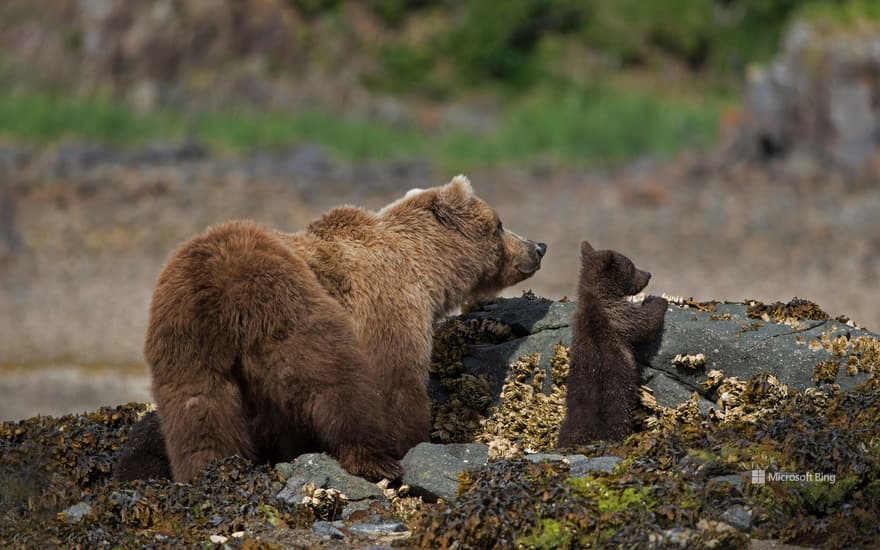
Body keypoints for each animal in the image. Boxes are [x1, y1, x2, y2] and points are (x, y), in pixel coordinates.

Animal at [131, 177, 544, 484]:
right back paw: (373, 458)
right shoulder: (387, 304)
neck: (426, 271)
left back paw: (208, 470)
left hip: (184, 341)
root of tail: (217, 290)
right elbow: (395, 381)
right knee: (334, 384)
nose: (538, 246)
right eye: (500, 224)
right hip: (290, 308)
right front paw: (413, 439)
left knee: (197, 411)